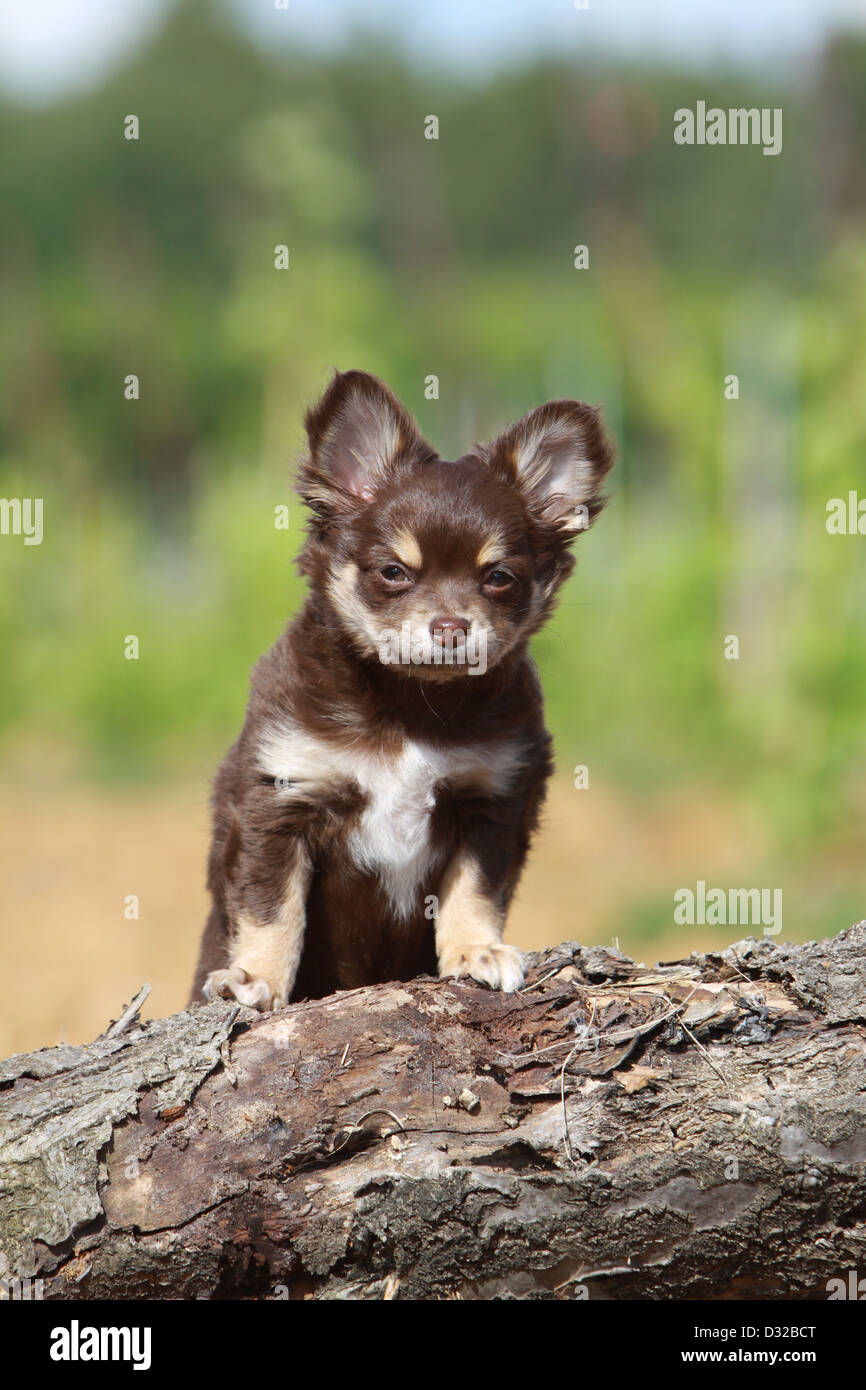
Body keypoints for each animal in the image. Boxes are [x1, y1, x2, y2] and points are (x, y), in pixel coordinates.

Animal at [193, 369, 614, 1011]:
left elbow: (472, 890)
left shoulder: (493, 800)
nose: (450, 626)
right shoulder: (279, 800)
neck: (411, 704)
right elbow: (272, 908)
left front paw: (475, 953)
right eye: (394, 573)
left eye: (499, 578)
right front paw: (255, 978)